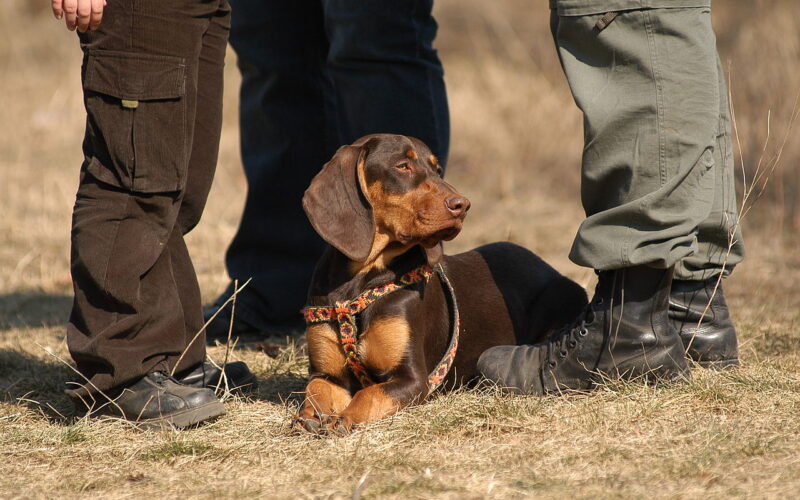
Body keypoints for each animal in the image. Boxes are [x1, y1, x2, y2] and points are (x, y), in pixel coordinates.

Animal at [290, 133, 584, 434]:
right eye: (403, 166)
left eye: (438, 169)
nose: (462, 205)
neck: (360, 281)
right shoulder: (327, 374)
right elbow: (314, 392)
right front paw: (310, 417)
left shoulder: (412, 378)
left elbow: (368, 394)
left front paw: (343, 419)